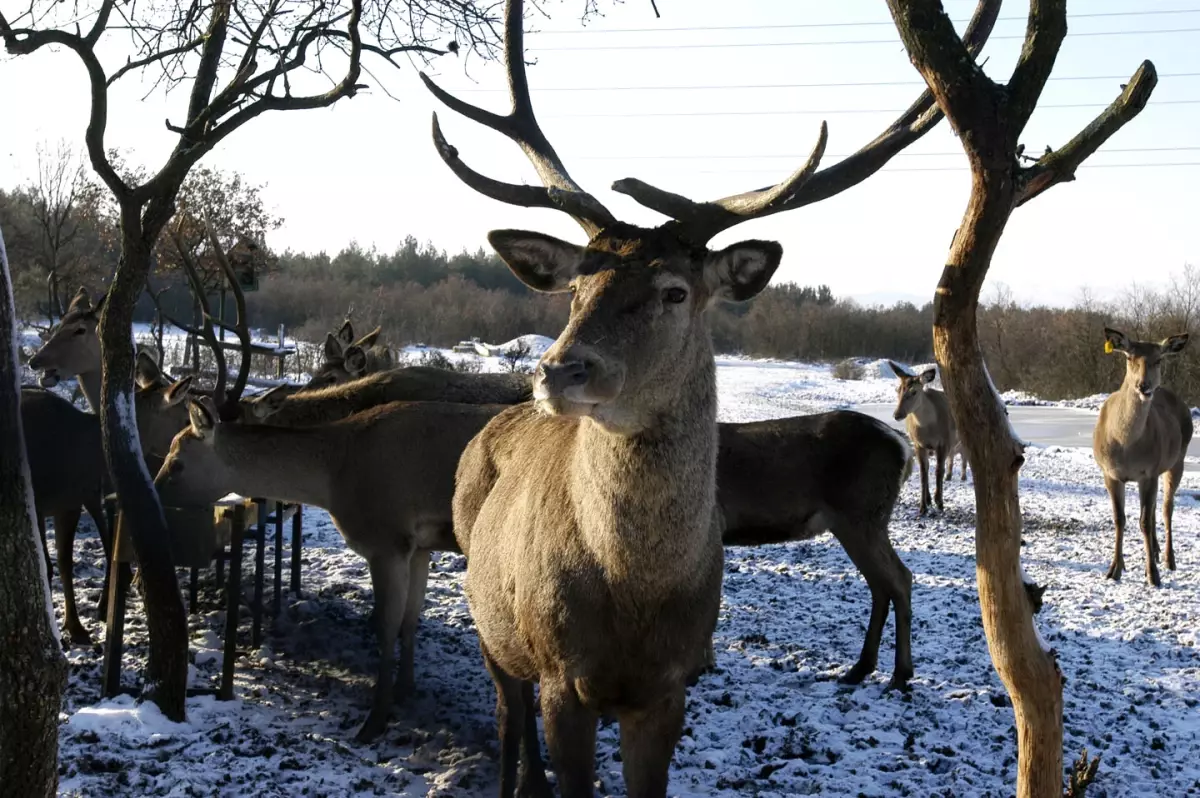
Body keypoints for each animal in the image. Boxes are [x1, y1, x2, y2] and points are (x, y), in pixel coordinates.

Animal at [888, 360, 960, 513]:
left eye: (914, 391)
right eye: (898, 390)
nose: (897, 414)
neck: (929, 428)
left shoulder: (944, 442)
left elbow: (939, 470)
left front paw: (939, 502)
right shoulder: (918, 444)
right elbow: (923, 473)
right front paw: (922, 507)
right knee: (926, 468)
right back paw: (927, 499)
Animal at [1099, 326, 1190, 588]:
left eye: (1158, 360)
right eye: (1130, 358)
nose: (1144, 386)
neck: (1126, 446)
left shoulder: (1147, 472)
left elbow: (1144, 522)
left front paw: (1152, 575)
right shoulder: (1109, 473)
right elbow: (1119, 519)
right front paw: (1114, 569)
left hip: (1177, 459)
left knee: (1166, 508)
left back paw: (1169, 559)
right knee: (1154, 509)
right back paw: (1157, 551)